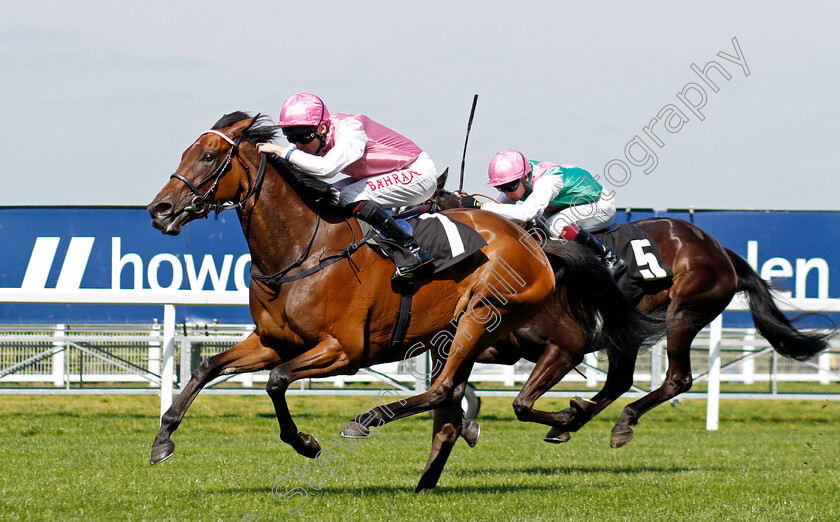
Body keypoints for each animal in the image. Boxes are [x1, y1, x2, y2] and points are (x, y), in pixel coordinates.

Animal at [143, 110, 656, 492]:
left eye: (210, 156)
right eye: (187, 152)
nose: (158, 210)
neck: (303, 251)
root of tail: (534, 244)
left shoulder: (343, 351)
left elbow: (276, 381)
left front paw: (306, 442)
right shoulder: (273, 341)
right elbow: (208, 368)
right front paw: (163, 439)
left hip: (482, 316)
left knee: (443, 391)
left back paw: (371, 419)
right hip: (453, 335)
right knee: (450, 403)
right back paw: (433, 478)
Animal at [436, 189, 832, 444]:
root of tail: (718, 248)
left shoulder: (566, 348)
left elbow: (521, 404)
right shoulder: (500, 347)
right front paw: (463, 419)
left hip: (685, 311)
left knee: (677, 379)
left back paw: (616, 422)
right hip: (626, 329)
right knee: (620, 380)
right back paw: (578, 422)